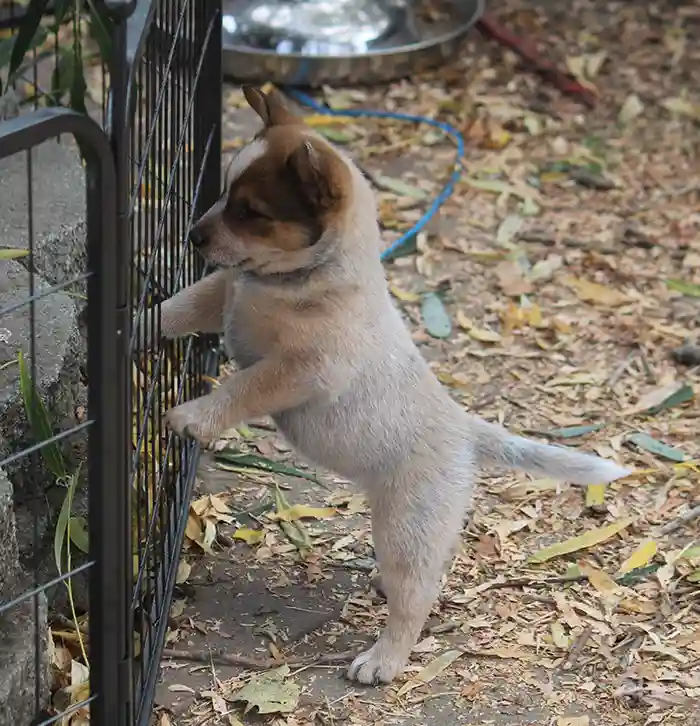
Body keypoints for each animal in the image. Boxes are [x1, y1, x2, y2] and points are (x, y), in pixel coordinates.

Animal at [141, 86, 628, 688]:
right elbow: (175, 309)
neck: (298, 282)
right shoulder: (221, 294)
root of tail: (464, 431)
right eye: (225, 192)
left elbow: (243, 386)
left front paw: (194, 416)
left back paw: (384, 660)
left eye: (250, 212)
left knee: (415, 597)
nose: (192, 234)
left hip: (405, 528)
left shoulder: (301, 368)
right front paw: (126, 324)